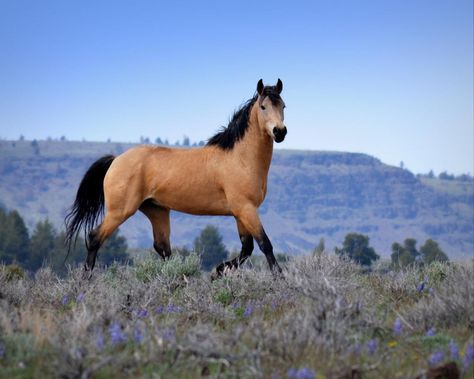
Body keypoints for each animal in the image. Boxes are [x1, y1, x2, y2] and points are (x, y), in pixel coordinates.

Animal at [65, 78, 286, 280]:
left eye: (283, 105)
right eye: (263, 106)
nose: (280, 131)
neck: (239, 158)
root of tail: (116, 160)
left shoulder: (241, 213)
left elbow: (246, 248)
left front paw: (219, 271)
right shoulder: (245, 208)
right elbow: (264, 244)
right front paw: (279, 277)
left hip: (156, 210)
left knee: (163, 249)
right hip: (119, 211)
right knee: (95, 237)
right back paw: (84, 280)